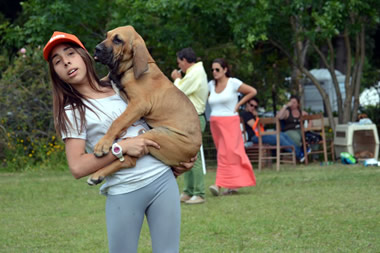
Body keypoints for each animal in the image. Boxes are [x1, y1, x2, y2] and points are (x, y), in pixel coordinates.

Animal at [88, 25, 202, 184]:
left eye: (118, 40)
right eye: (107, 36)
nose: (96, 49)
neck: (129, 68)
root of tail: (194, 151)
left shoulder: (139, 104)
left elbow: (118, 121)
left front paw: (103, 144)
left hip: (156, 135)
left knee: (130, 160)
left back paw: (98, 173)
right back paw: (98, 175)